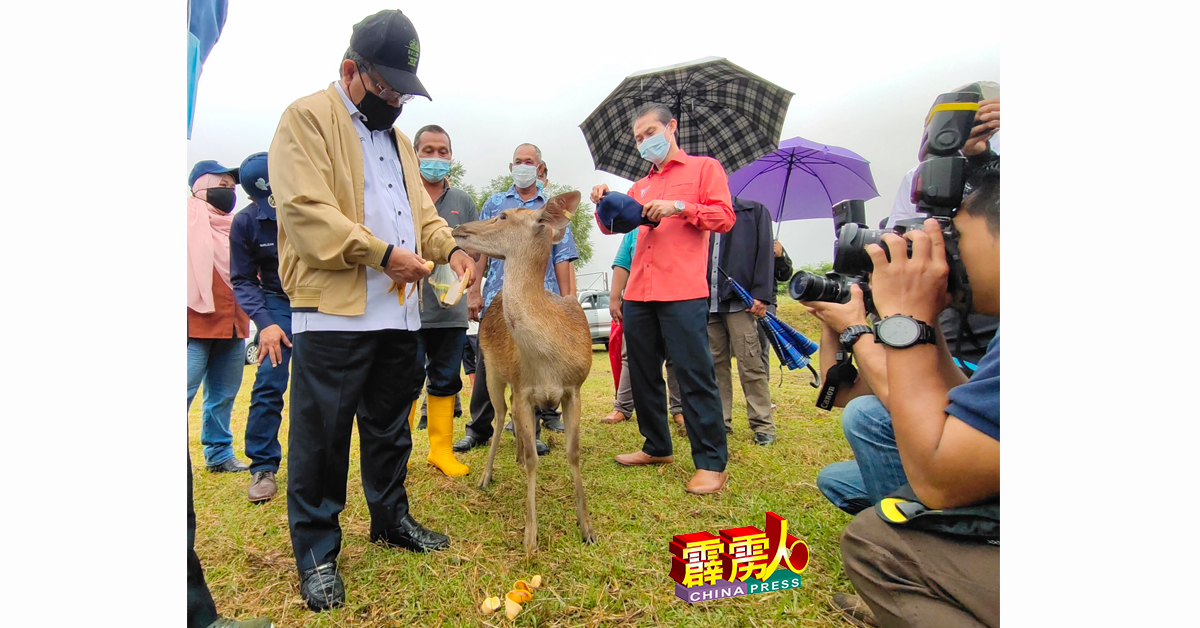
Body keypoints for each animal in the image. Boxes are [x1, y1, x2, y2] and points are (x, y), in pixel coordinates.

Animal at [451, 189, 595, 552]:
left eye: (503, 216)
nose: (458, 227)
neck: (548, 362)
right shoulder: (523, 385)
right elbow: (533, 459)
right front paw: (531, 538)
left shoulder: (574, 388)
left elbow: (573, 453)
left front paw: (587, 527)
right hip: (492, 370)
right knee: (500, 415)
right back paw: (486, 476)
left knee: (512, 416)